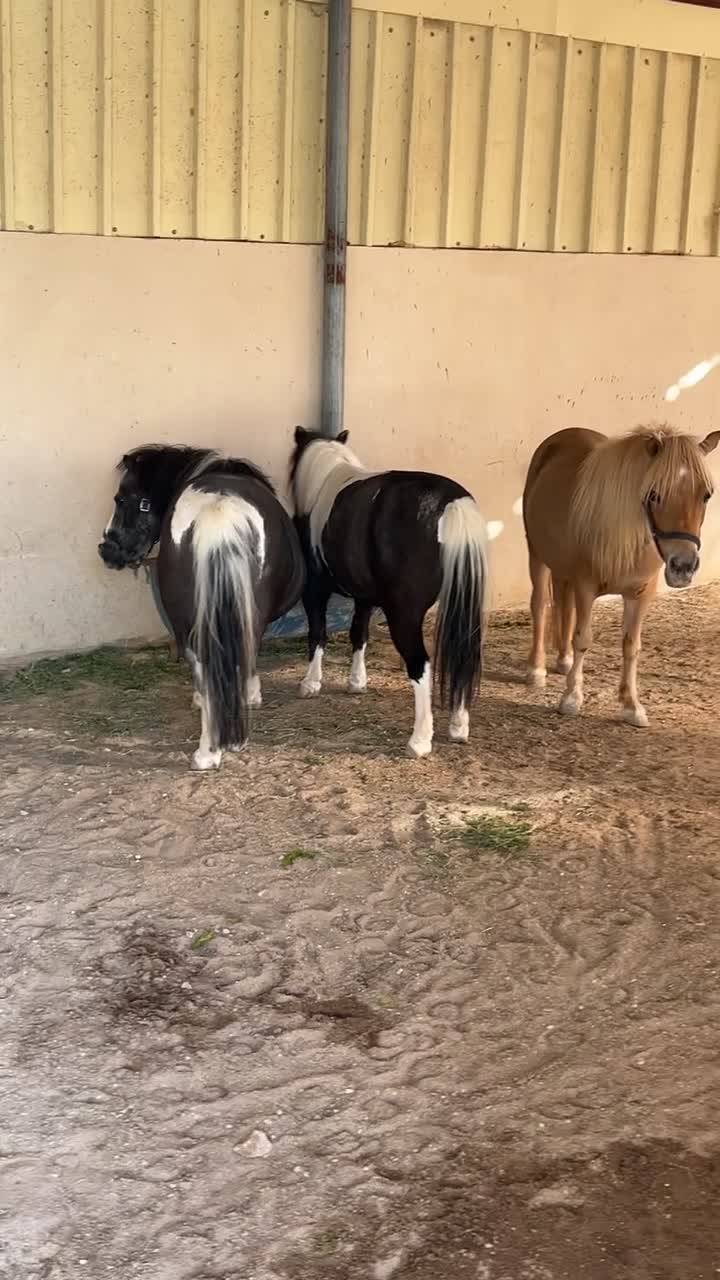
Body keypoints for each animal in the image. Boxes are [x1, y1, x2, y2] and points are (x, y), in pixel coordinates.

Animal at [288, 425, 489, 758]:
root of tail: (451, 503)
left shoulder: (315, 590)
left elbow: (318, 633)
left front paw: (311, 683)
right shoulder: (364, 597)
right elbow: (359, 634)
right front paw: (357, 682)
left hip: (404, 615)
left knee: (420, 665)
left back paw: (420, 741)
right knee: (464, 656)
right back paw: (459, 727)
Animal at [522, 424, 718, 726]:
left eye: (706, 495)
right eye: (653, 494)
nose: (683, 566)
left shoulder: (641, 593)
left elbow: (631, 646)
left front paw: (631, 706)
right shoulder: (586, 586)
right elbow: (583, 638)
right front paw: (571, 698)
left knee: (563, 604)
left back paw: (564, 660)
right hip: (538, 555)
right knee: (541, 605)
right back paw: (537, 669)